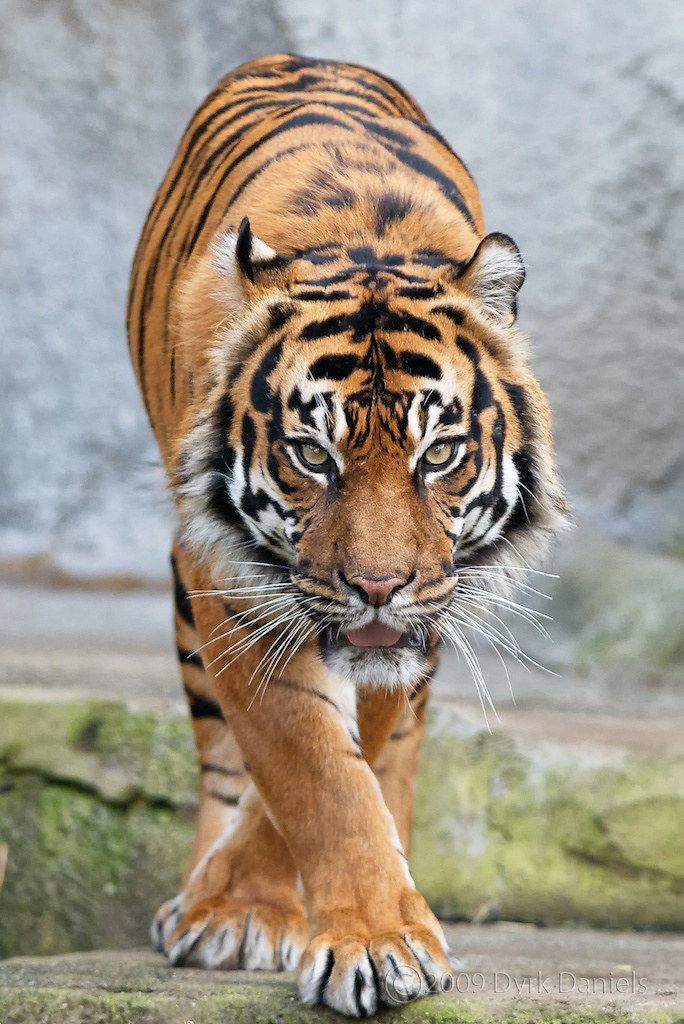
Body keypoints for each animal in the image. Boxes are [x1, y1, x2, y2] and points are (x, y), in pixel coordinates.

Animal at [126, 52, 567, 1016]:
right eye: (310, 455)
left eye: (438, 453)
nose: (375, 587)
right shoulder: (241, 591)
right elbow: (312, 771)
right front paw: (350, 935)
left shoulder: (418, 619)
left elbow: (352, 754)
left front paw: (375, 922)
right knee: (223, 757)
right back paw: (220, 914)